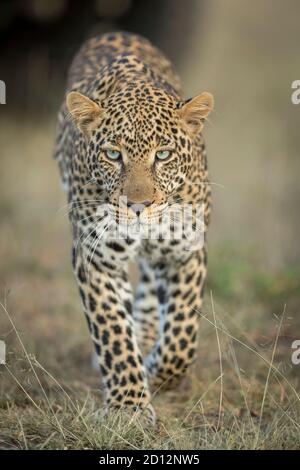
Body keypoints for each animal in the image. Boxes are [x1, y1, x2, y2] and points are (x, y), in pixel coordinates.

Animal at [54, 31, 213, 424]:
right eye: (113, 155)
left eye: (163, 155)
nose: (138, 207)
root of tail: (114, 32)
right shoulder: (96, 258)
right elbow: (112, 331)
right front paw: (128, 407)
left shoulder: (186, 251)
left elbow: (181, 337)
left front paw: (157, 369)